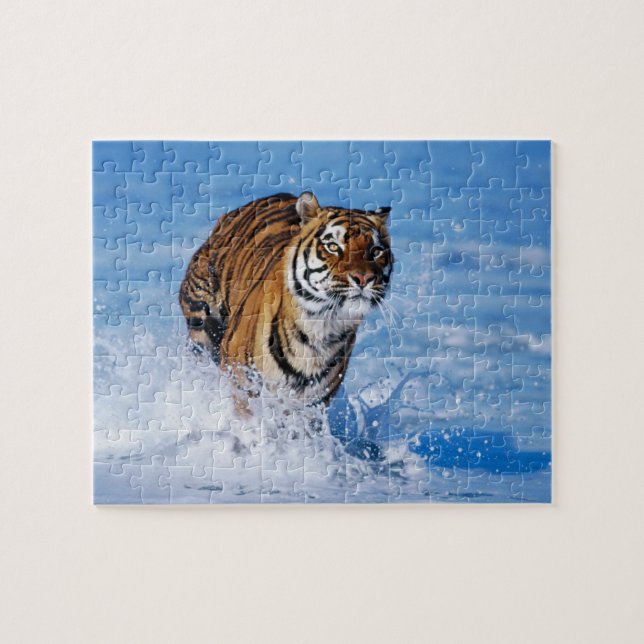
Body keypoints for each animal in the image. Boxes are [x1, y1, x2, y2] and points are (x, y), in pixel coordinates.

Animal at [179, 191, 393, 409]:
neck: (322, 330)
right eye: (333, 246)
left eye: (376, 251)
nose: (364, 278)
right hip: (201, 323)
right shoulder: (242, 383)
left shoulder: (313, 403)